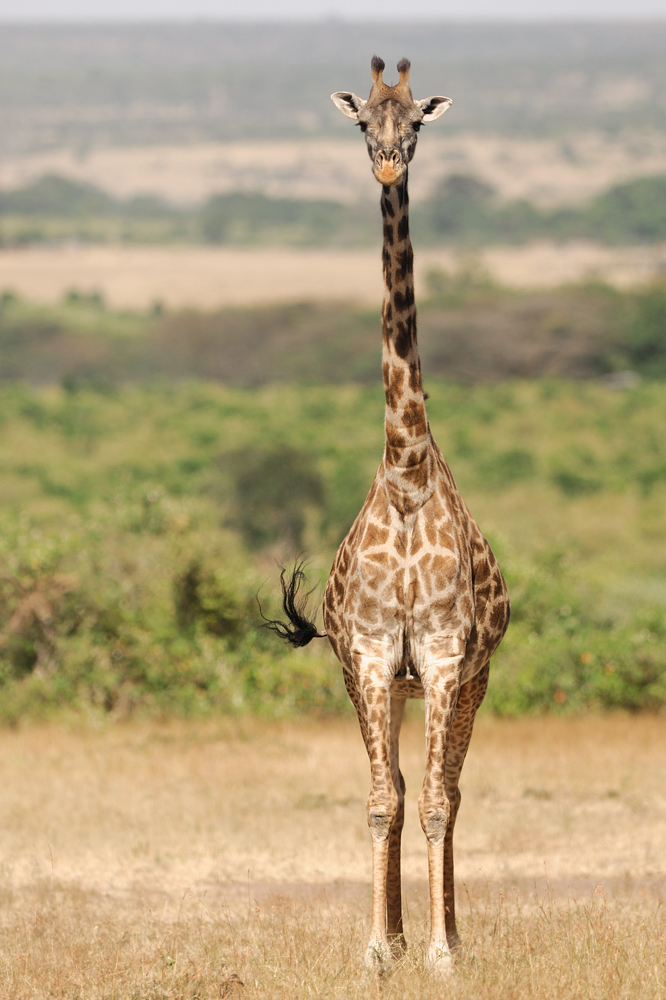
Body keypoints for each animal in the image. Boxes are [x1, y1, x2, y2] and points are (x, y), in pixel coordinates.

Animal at [268, 56, 510, 975]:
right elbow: (383, 800)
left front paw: (442, 954)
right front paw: (380, 947)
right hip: (383, 684)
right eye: (363, 122)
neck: (406, 474)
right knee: (405, 787)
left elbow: (438, 800)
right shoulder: (371, 657)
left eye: (417, 124)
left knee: (450, 790)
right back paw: (404, 932)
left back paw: (450, 933)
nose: (386, 164)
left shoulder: (443, 658)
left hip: (471, 678)